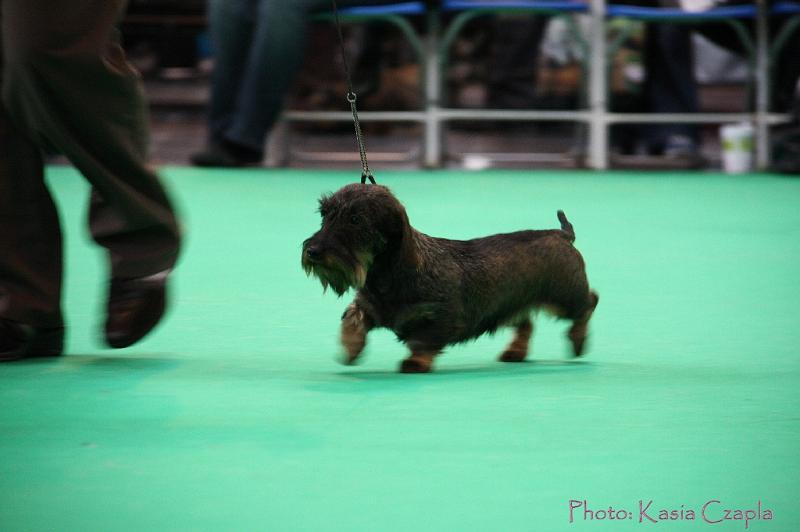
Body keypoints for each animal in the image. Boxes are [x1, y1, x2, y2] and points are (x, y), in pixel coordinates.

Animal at [304, 185, 596, 372]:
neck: (387, 275)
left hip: (566, 298)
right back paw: (515, 351)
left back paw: (578, 339)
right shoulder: (369, 305)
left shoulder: (444, 318)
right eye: (325, 214)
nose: (312, 251)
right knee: (525, 323)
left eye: (356, 219)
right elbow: (352, 318)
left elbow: (422, 341)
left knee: (589, 303)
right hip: (513, 302)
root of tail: (561, 235)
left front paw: (415, 362)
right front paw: (351, 347)